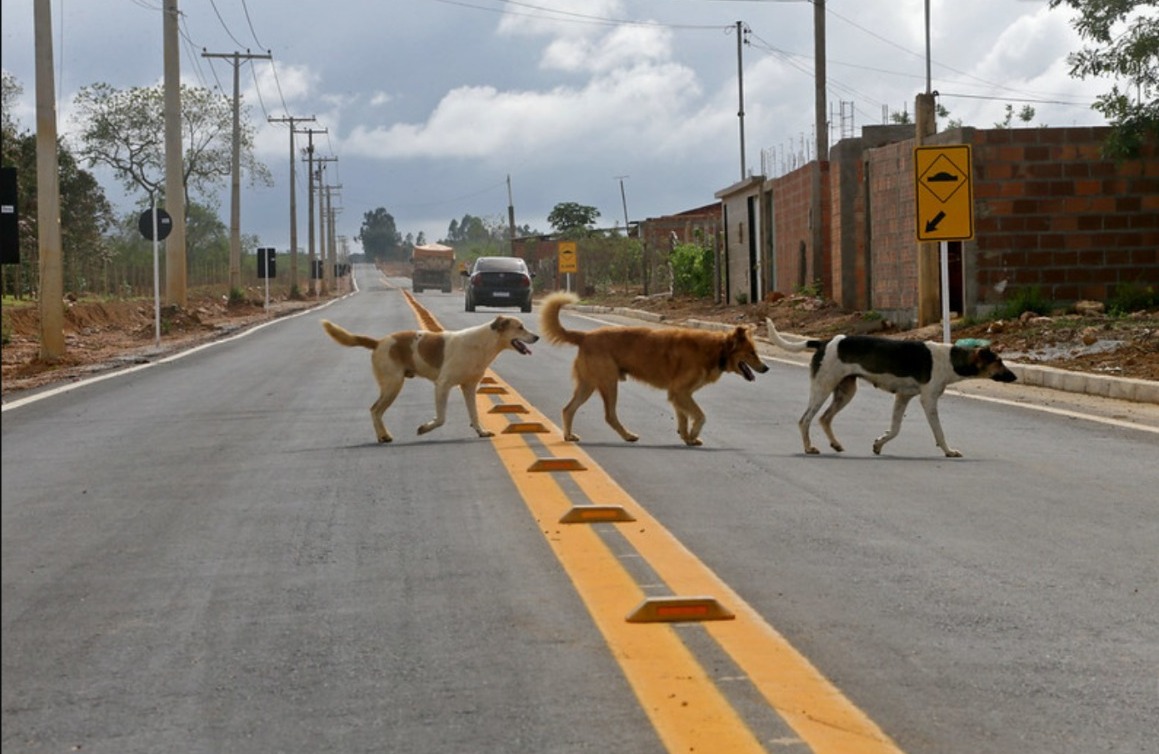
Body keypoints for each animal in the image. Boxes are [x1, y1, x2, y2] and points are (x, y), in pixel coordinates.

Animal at [322, 312, 537, 442]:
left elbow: (474, 414)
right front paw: (425, 427)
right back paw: (384, 436)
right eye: (520, 327)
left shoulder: (469, 387)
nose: (537, 337)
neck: (483, 343)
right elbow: (441, 418)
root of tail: (379, 342)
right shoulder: (442, 385)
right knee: (375, 410)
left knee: (376, 410)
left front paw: (481, 431)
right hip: (393, 385)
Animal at [540, 289, 769, 442]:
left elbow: (683, 419)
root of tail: (585, 336)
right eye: (752, 353)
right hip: (609, 383)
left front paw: (687, 437)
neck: (717, 349)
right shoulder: (680, 392)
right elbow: (700, 416)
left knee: (568, 409)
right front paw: (694, 433)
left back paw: (569, 435)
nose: (766, 368)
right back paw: (628, 435)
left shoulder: (679, 395)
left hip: (588, 385)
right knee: (609, 415)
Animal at [769, 319, 1015, 460]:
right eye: (999, 362)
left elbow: (895, 428)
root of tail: (823, 341)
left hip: (845, 392)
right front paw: (948, 451)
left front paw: (879, 444)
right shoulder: (928, 400)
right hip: (823, 388)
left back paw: (835, 444)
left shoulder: (903, 397)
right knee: (805, 420)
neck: (951, 360)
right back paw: (809, 448)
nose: (1014, 376)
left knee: (824, 418)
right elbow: (939, 431)